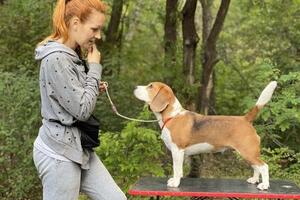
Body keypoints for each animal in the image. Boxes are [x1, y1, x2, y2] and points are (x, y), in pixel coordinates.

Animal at [135, 81, 278, 191]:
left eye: (151, 86)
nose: (135, 87)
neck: (172, 116)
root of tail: (245, 119)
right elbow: (179, 170)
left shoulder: (177, 150)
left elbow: (177, 169)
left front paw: (175, 183)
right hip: (248, 154)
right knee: (256, 167)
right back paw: (254, 180)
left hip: (248, 152)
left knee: (264, 166)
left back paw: (264, 185)